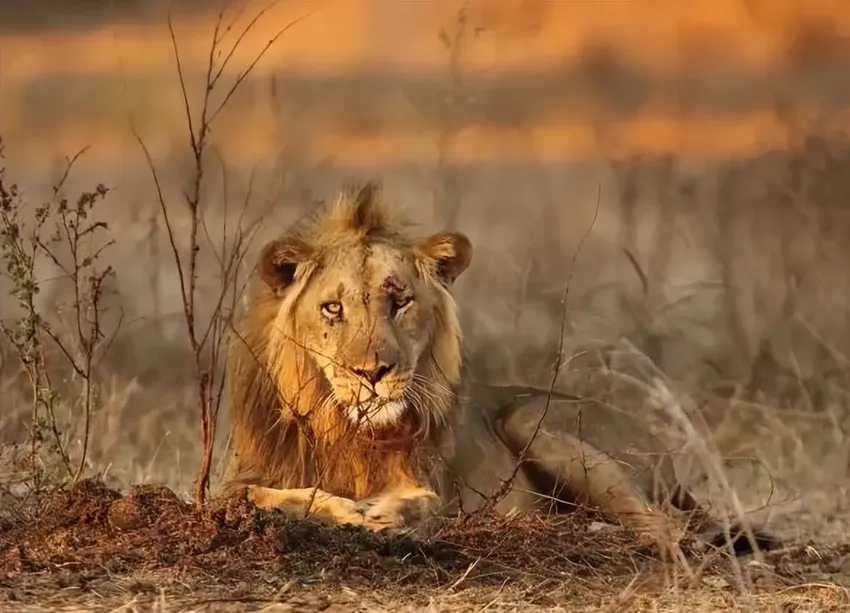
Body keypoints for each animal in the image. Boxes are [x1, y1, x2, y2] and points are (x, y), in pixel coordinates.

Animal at [220, 178, 780, 556]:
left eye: (400, 301)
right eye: (332, 309)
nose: (372, 373)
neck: (343, 428)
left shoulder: (442, 489)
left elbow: (427, 504)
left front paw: (388, 513)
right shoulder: (234, 481)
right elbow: (261, 495)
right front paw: (341, 509)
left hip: (534, 421)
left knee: (669, 529)